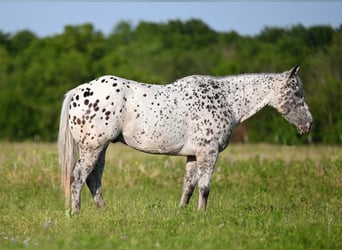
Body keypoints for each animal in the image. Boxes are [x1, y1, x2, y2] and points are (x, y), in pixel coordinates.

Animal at [58, 65, 312, 214]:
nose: (308, 124)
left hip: (100, 149)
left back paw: (103, 211)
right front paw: (202, 214)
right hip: (93, 147)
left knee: (94, 179)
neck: (226, 99)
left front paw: (183, 212)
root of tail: (79, 91)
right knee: (79, 177)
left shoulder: (193, 154)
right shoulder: (208, 152)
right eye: (297, 92)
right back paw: (76, 213)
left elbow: (188, 186)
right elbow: (205, 187)